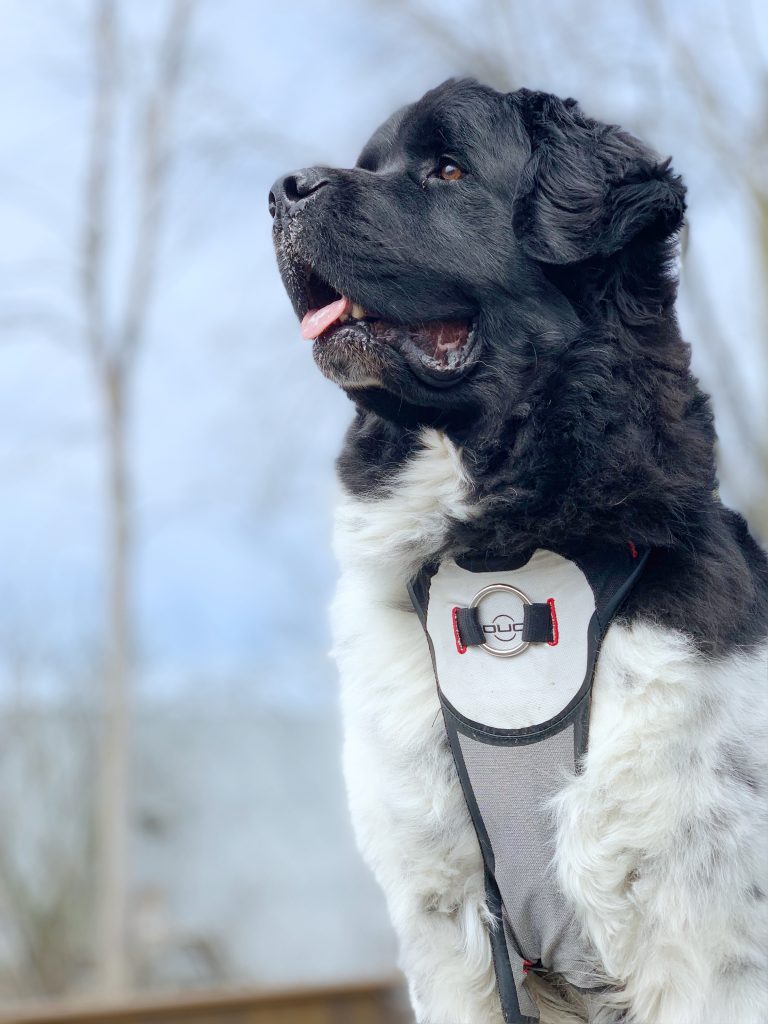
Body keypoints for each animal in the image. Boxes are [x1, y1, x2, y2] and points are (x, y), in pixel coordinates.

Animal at [270, 77, 768, 1024]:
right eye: (369, 164)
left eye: (448, 169)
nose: (284, 189)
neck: (503, 548)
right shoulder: (449, 922)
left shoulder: (707, 926)